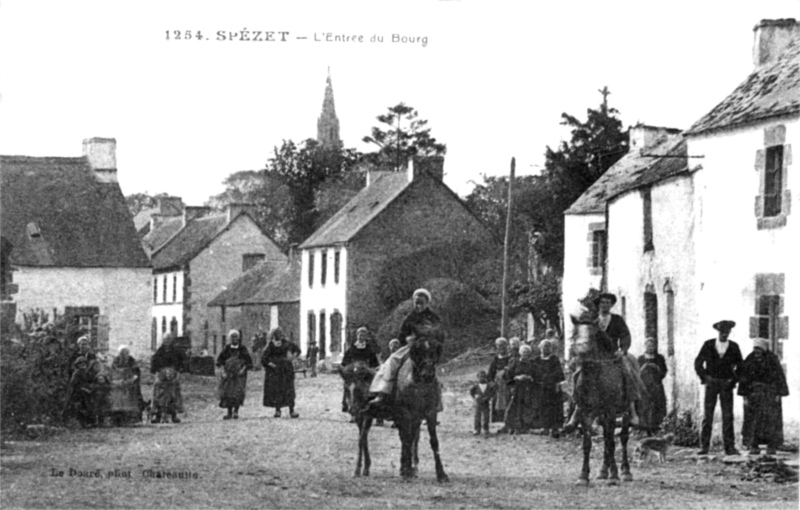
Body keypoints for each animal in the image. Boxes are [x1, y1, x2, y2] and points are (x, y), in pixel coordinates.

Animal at [340, 342, 450, 482]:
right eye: (346, 389)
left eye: (434, 353)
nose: (352, 409)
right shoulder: (400, 415)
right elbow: (362, 440)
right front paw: (358, 469)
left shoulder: (429, 413)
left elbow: (432, 441)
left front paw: (441, 474)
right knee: (366, 437)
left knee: (413, 438)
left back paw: (412, 467)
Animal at [572, 308, 636, 484]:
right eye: (575, 332)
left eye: (593, 333)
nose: (580, 351)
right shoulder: (585, 413)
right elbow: (588, 443)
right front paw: (583, 476)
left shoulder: (611, 411)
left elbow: (611, 441)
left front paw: (614, 475)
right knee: (607, 438)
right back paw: (603, 471)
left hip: (624, 413)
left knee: (622, 437)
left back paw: (625, 471)